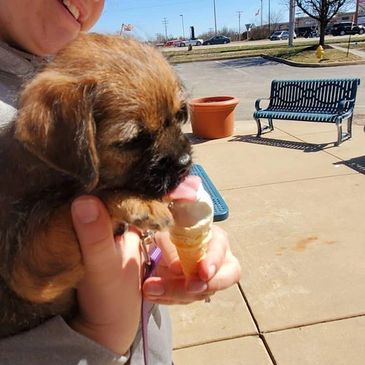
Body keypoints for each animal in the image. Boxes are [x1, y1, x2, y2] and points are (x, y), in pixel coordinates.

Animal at [0, 32, 192, 336]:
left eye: (180, 114)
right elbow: (80, 201)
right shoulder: (26, 266)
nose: (185, 163)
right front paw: (139, 202)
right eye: (134, 140)